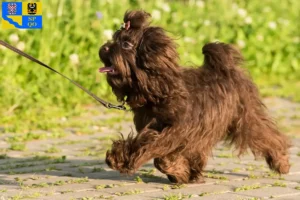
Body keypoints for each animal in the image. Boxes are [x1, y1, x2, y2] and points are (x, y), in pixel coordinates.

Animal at [98, 10, 290, 184]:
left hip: (245, 117)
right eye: (114, 39)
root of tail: (226, 68)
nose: (104, 47)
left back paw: (281, 162)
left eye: (126, 44)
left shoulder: (177, 132)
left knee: (266, 135)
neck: (159, 90)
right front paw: (182, 173)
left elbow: (156, 152)